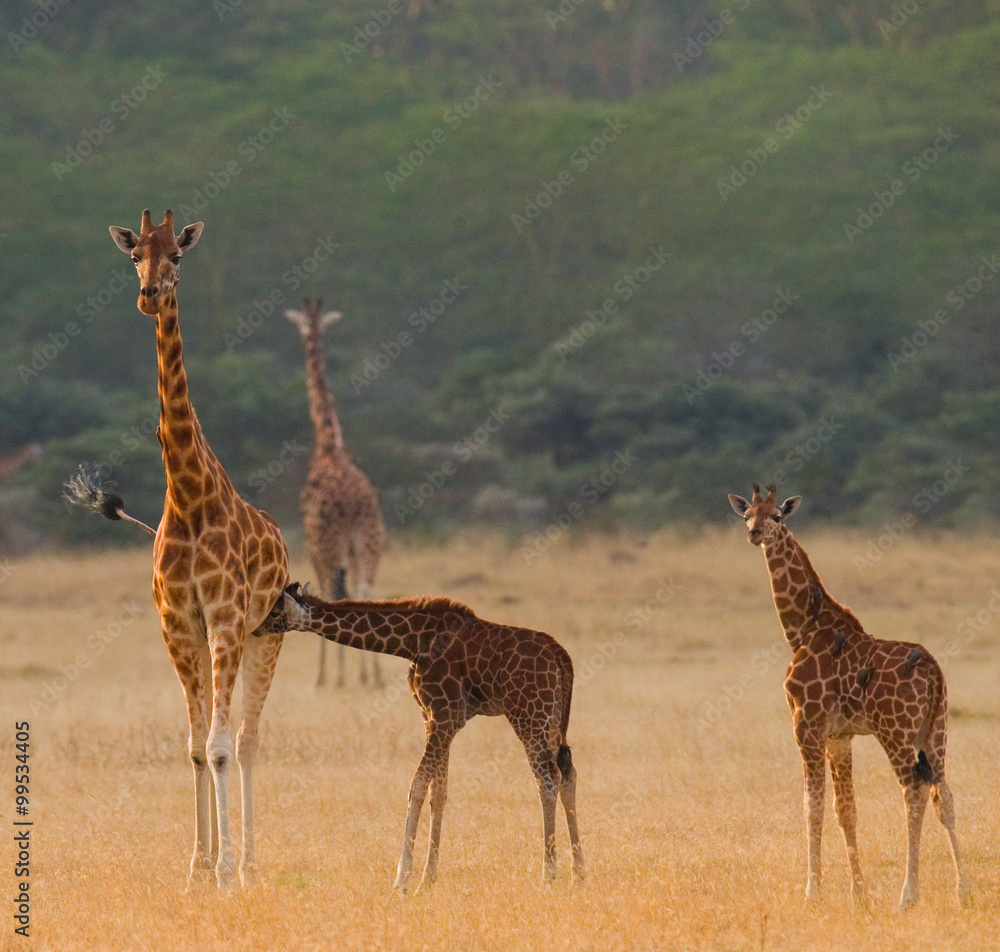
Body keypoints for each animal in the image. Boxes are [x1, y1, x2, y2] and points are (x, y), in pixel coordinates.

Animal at [108, 210, 289, 890]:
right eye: (135, 255)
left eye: (178, 257)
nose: (149, 294)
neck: (187, 494)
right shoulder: (179, 623)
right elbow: (191, 749)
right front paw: (196, 870)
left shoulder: (228, 618)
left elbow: (219, 746)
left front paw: (228, 870)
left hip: (265, 635)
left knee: (248, 738)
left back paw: (255, 864)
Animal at [259, 582, 587, 892]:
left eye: (274, 611)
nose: (256, 629)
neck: (411, 641)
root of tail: (563, 658)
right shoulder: (433, 718)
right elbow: (438, 793)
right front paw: (427, 880)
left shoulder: (445, 714)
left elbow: (416, 786)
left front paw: (402, 879)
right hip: (554, 718)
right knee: (567, 772)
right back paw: (578, 875)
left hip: (528, 714)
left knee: (546, 779)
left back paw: (548, 876)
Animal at [285, 298, 386, 688]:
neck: (331, 445)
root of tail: (354, 505)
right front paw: (364, 672)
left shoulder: (313, 546)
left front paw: (327, 676)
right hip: (370, 543)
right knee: (366, 591)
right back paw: (375, 676)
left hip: (330, 547)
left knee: (335, 593)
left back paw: (335, 677)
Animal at [728, 483, 968, 909]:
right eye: (747, 514)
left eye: (778, 516)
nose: (755, 533)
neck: (802, 631)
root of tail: (935, 673)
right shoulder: (839, 736)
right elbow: (846, 810)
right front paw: (859, 893)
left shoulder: (806, 725)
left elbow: (813, 806)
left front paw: (813, 892)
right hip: (935, 730)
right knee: (945, 795)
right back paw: (963, 891)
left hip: (896, 732)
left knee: (914, 792)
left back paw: (908, 896)